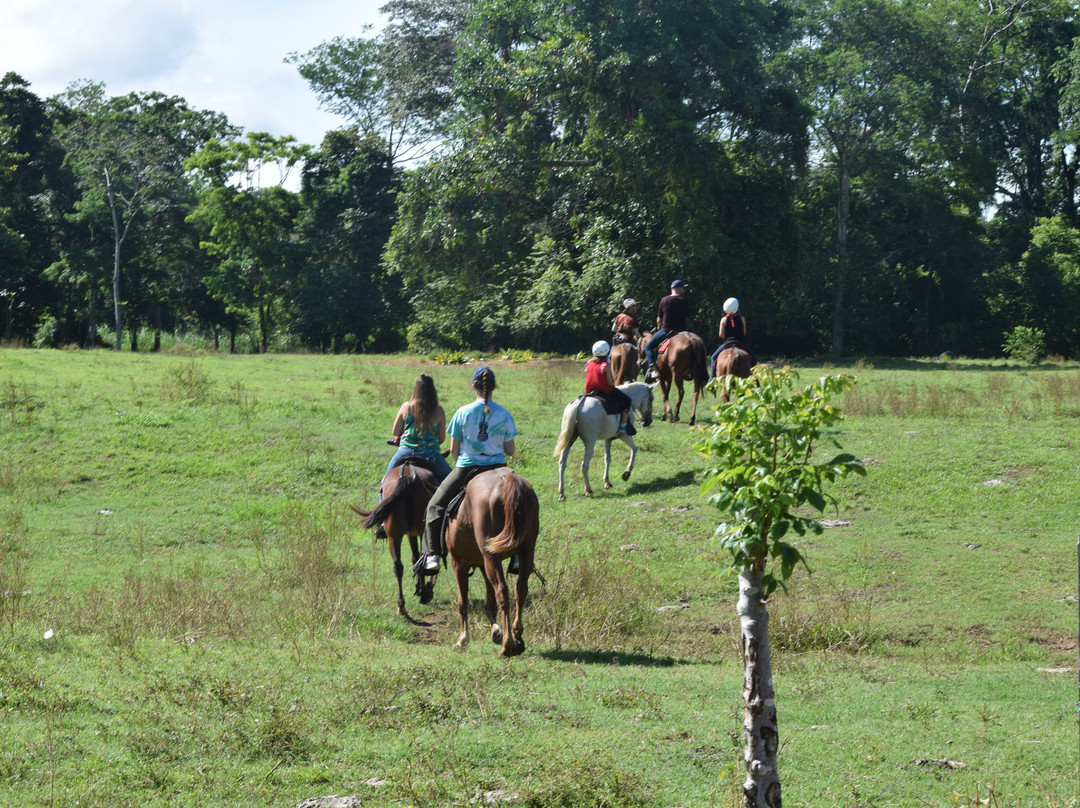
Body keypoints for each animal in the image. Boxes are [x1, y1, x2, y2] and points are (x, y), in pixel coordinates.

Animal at [354, 460, 438, 617]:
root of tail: (410, 479)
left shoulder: (411, 533)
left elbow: (415, 558)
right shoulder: (415, 533)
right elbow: (417, 558)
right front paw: (423, 590)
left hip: (394, 535)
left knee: (398, 566)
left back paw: (401, 606)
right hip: (420, 531)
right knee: (421, 560)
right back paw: (420, 595)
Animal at [442, 466, 540, 656]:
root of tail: (505, 480)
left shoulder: (458, 562)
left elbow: (463, 602)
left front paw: (463, 639)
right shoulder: (482, 564)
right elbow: (490, 601)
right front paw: (496, 631)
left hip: (491, 557)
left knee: (502, 591)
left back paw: (507, 645)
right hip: (526, 551)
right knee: (520, 589)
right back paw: (517, 635)